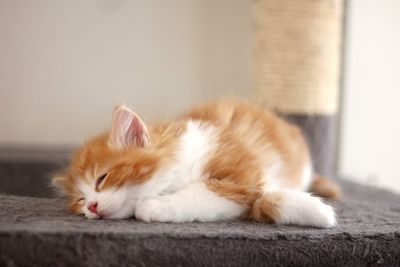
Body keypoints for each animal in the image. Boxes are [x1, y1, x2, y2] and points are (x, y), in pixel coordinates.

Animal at [52, 100, 340, 228]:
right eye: (80, 199)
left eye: (101, 179)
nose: (91, 206)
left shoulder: (242, 170)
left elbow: (207, 192)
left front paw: (320, 212)